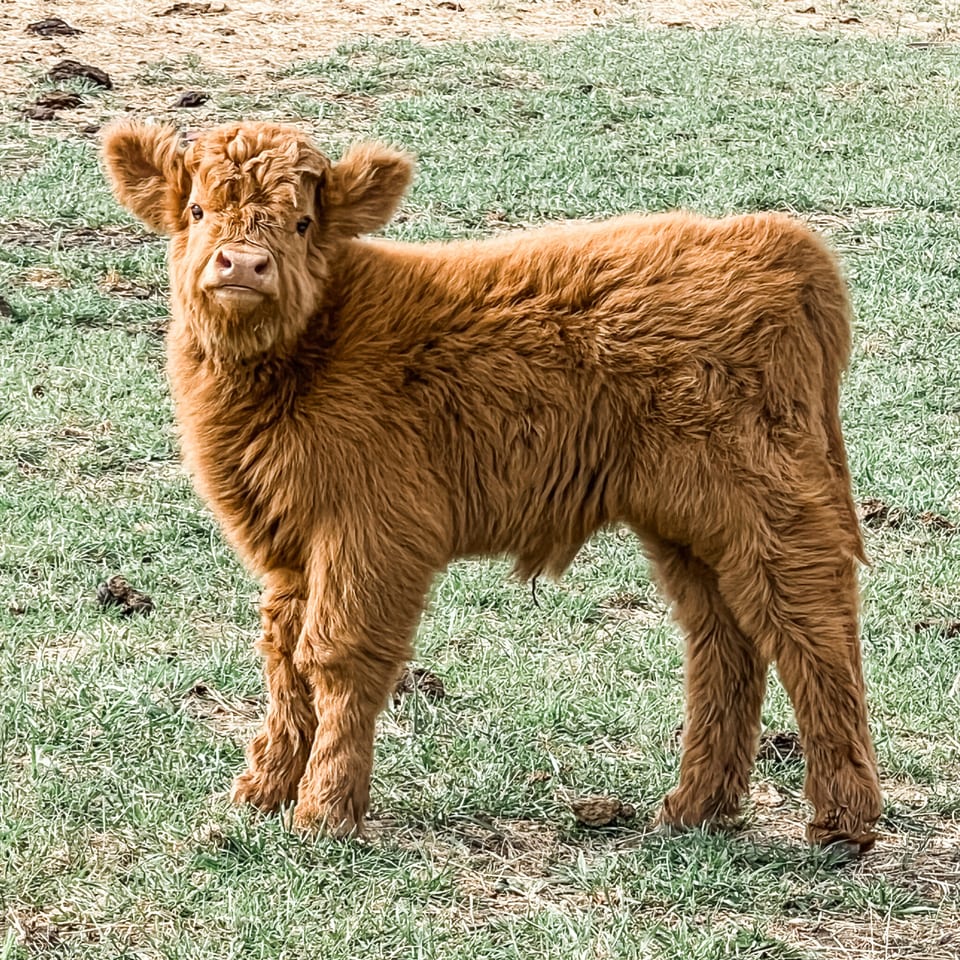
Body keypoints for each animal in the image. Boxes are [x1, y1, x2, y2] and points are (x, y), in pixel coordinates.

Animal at [102, 120, 881, 851]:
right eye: (198, 209)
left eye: (301, 221)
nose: (243, 263)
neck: (306, 355)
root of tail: (771, 239)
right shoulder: (289, 545)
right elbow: (285, 660)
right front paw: (262, 792)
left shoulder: (371, 532)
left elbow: (337, 655)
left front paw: (324, 812)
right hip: (688, 528)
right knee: (725, 640)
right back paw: (695, 808)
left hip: (771, 509)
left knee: (813, 629)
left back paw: (843, 822)